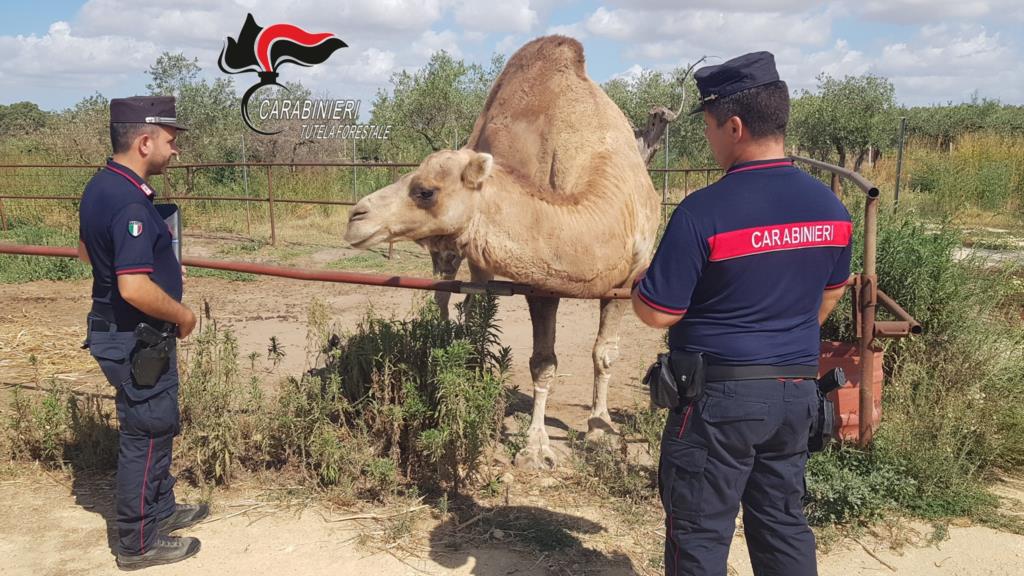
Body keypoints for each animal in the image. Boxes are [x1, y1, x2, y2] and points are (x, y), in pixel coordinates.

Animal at [346, 34, 663, 467]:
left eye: (425, 190)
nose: (356, 216)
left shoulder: (628, 277)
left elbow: (604, 354)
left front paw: (601, 431)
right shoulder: (542, 281)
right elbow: (544, 362)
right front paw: (536, 448)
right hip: (451, 251)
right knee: (455, 298)